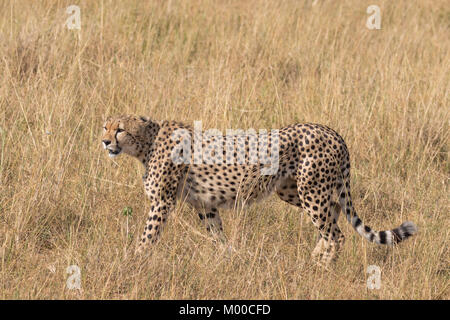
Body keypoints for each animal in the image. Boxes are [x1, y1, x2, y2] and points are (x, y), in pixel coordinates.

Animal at [102, 115, 418, 264]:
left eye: (120, 129)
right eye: (105, 126)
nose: (105, 142)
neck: (146, 143)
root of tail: (332, 131)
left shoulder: (162, 202)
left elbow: (148, 236)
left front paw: (133, 260)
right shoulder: (205, 205)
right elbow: (217, 234)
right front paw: (228, 258)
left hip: (311, 191)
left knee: (336, 234)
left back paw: (322, 268)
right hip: (295, 190)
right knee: (335, 215)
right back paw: (313, 259)